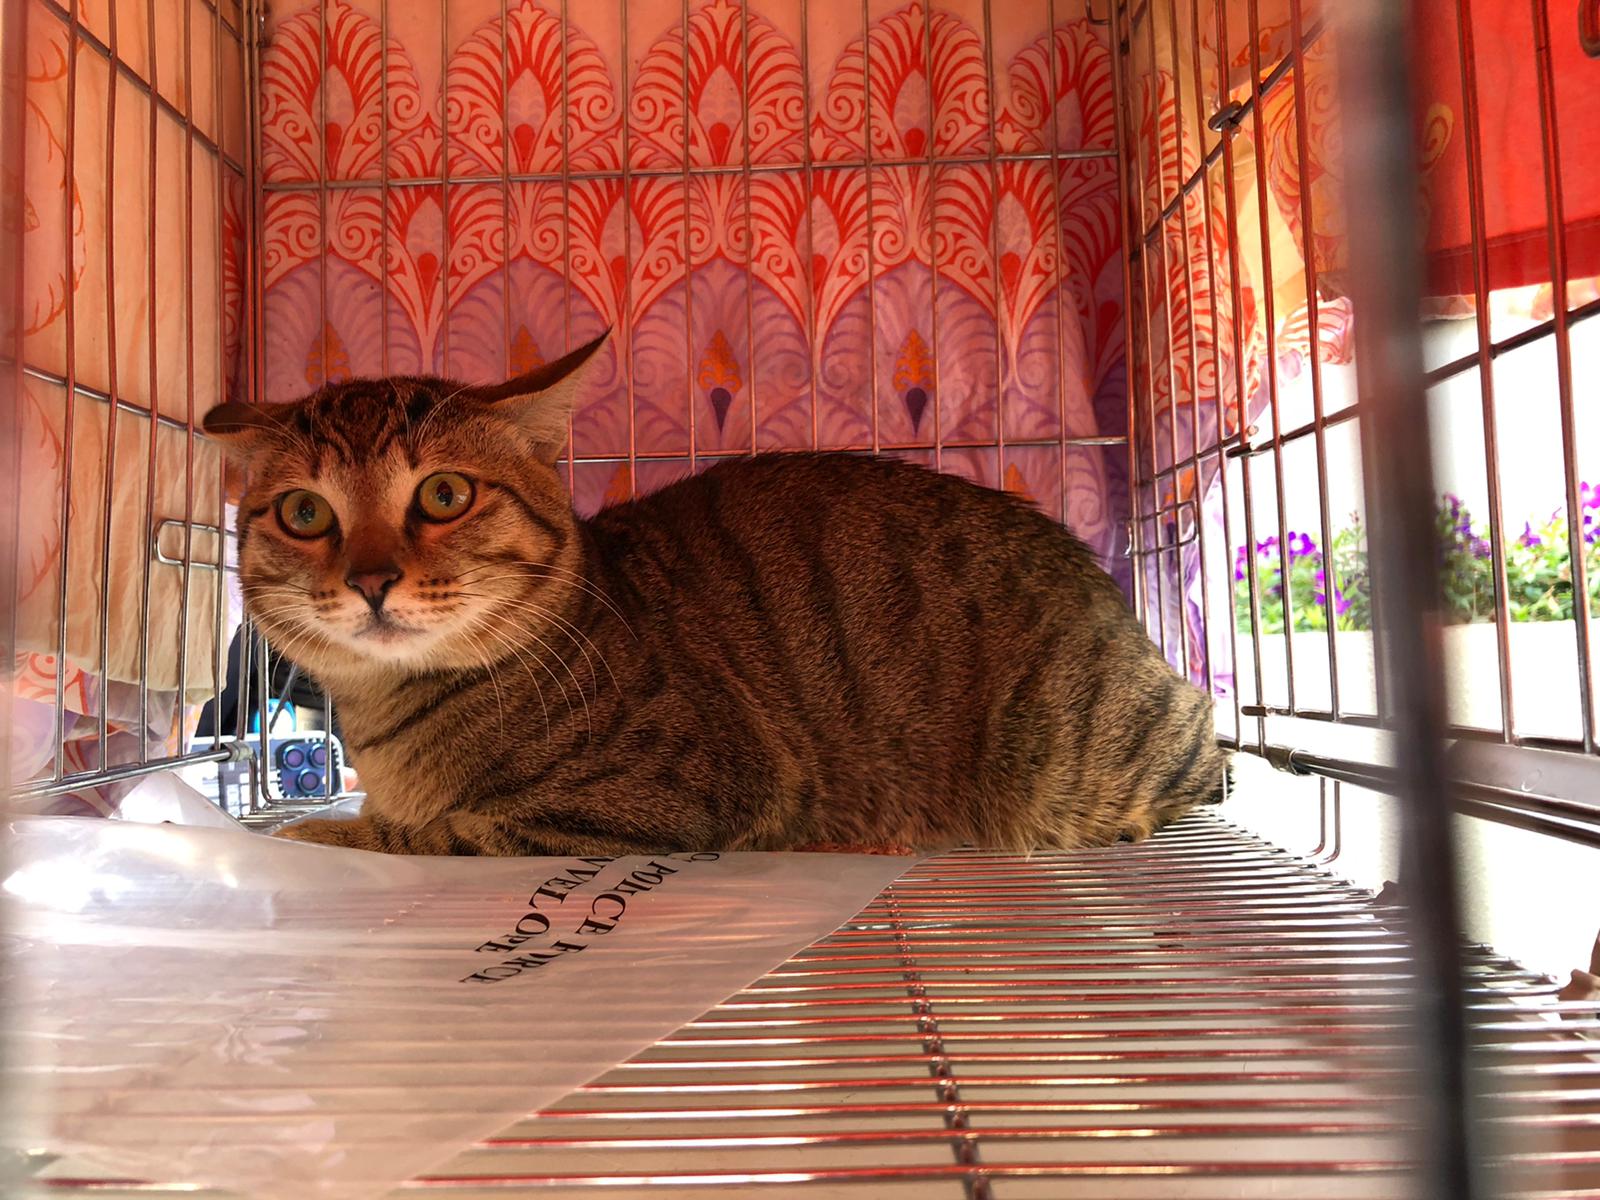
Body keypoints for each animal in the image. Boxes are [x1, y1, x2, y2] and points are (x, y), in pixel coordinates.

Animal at [203, 331, 1229, 856]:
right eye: (304, 511)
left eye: (444, 495)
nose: (371, 579)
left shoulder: (669, 801)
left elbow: (433, 835)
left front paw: (326, 837)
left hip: (1078, 756)